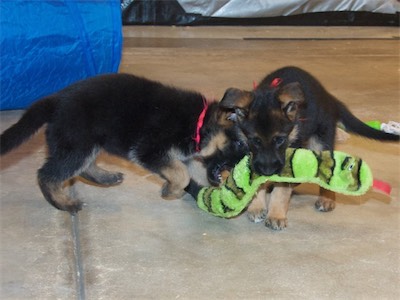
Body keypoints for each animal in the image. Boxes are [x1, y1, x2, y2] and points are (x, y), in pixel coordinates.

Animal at [0, 73, 247, 213]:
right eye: (239, 145)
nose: (245, 171)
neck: (198, 121)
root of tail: (55, 99)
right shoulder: (149, 150)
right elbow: (181, 173)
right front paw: (171, 191)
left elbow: (187, 172)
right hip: (78, 144)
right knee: (47, 174)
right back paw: (62, 203)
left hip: (85, 143)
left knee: (82, 167)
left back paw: (104, 177)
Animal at [219, 65, 400, 230]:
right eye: (255, 141)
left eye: (280, 140)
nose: (268, 171)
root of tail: (329, 98)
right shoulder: (251, 156)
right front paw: (256, 206)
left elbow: (281, 190)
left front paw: (276, 215)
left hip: (321, 142)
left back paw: (327, 199)